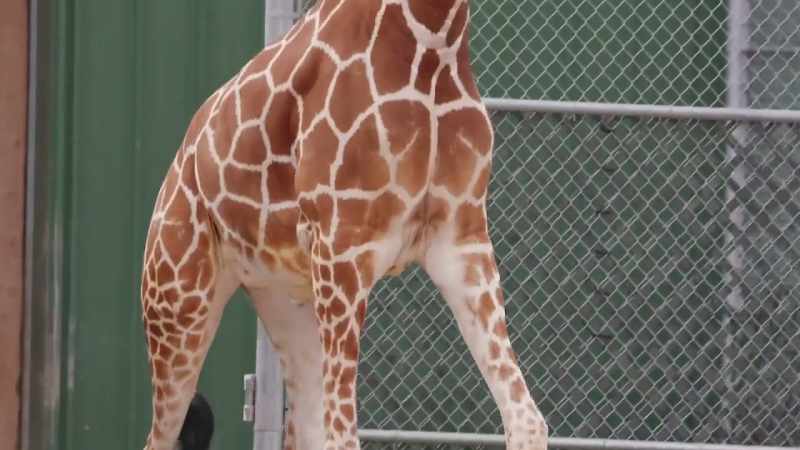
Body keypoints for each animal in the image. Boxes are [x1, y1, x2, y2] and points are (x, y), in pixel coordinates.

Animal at [140, 1, 548, 449]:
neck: (433, 39)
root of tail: (179, 162)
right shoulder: (342, 244)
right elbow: (344, 433)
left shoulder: (461, 237)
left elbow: (527, 419)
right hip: (178, 299)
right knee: (160, 436)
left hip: (285, 300)